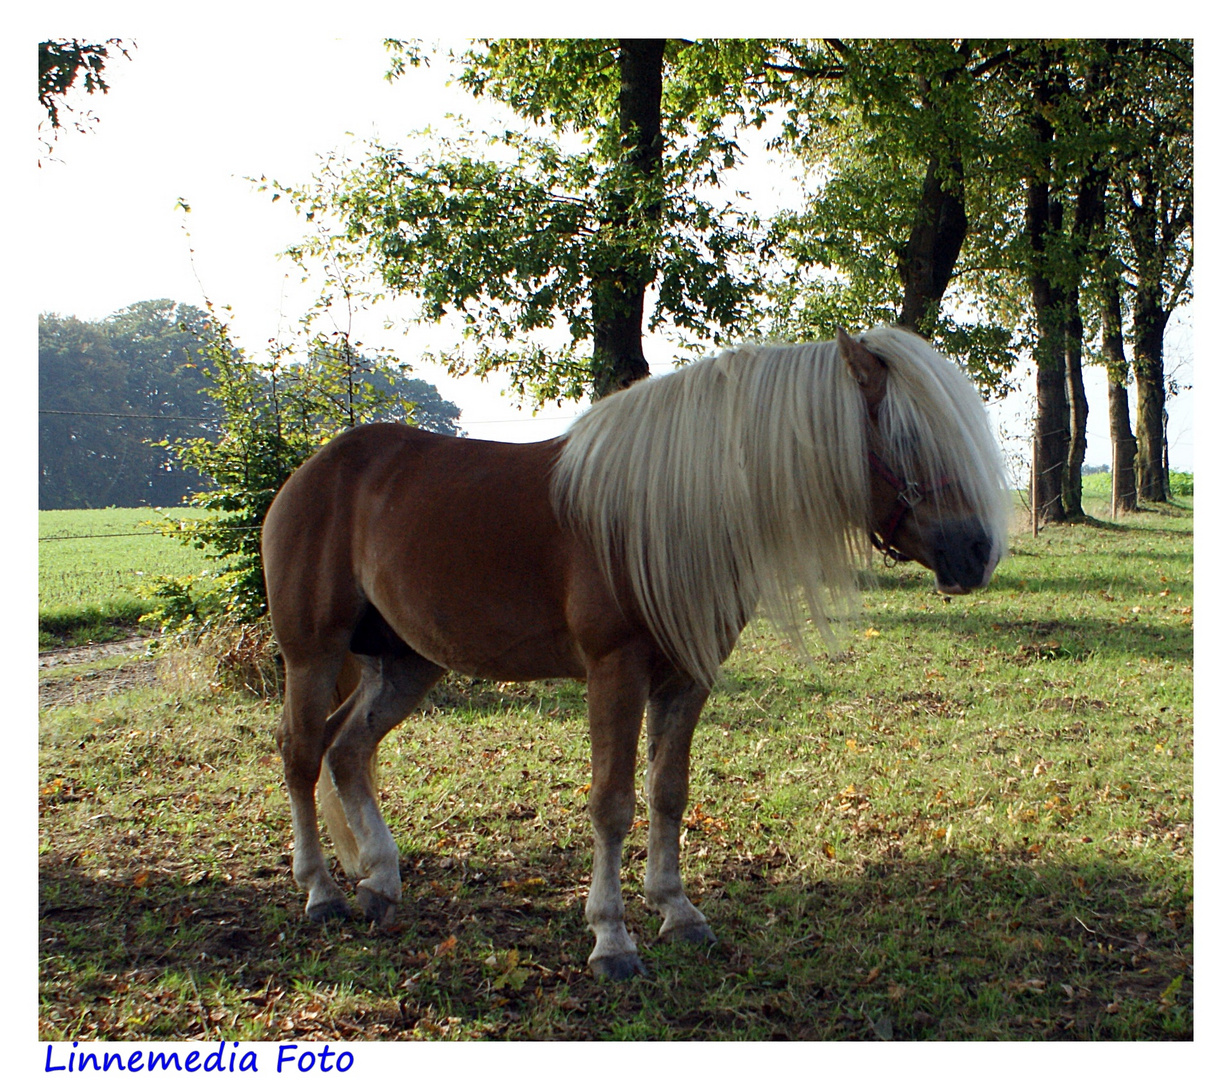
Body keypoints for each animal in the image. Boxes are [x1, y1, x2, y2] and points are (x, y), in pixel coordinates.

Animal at [264, 327, 1005, 975]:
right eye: (906, 437)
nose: (976, 552)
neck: (672, 508)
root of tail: (316, 468)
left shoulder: (687, 675)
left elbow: (668, 791)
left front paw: (678, 911)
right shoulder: (614, 669)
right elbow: (612, 801)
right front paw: (612, 938)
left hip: (408, 663)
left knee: (347, 750)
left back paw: (380, 882)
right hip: (313, 653)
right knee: (301, 754)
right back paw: (321, 892)